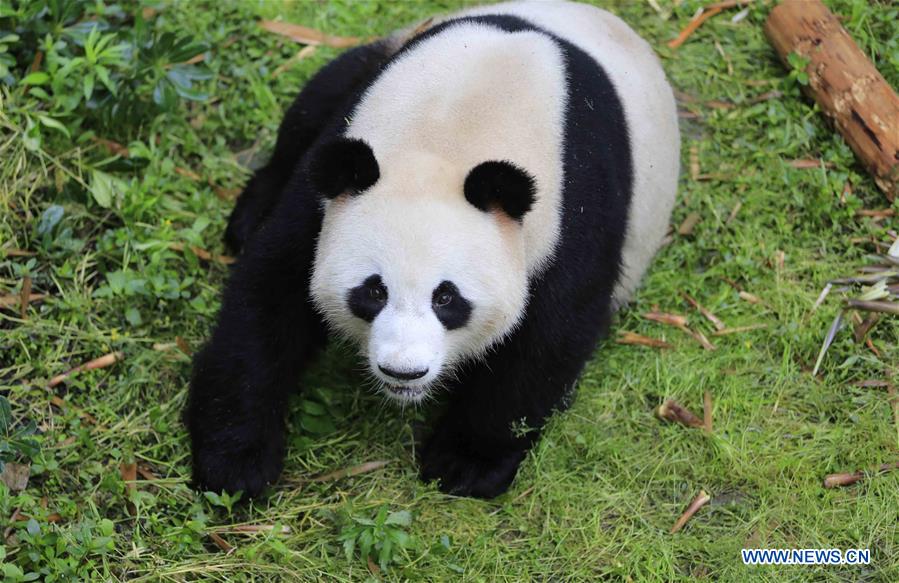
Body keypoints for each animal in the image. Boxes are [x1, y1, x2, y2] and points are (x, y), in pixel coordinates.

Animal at [186, 1, 679, 499]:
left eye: (447, 298)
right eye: (373, 291)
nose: (403, 372)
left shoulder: (570, 204)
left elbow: (549, 335)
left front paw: (466, 464)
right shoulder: (336, 180)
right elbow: (272, 289)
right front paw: (236, 461)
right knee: (311, 105)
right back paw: (249, 215)